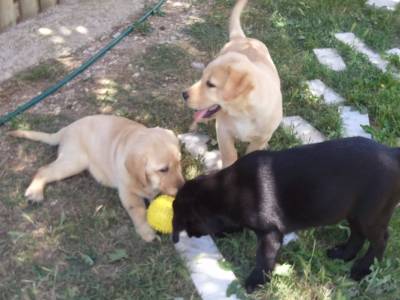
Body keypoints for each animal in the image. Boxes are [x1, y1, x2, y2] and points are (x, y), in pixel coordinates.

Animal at [9, 115, 184, 241]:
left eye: (179, 162)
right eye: (163, 169)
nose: (182, 188)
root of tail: (65, 129)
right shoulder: (127, 192)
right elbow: (138, 210)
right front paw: (146, 231)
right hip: (74, 161)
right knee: (43, 170)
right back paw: (35, 192)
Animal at [172, 137, 400, 292]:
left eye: (189, 223)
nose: (191, 235)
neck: (229, 189)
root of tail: (391, 152)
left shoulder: (271, 234)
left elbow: (264, 258)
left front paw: (255, 281)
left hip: (370, 216)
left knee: (380, 240)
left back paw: (363, 269)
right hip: (354, 213)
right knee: (357, 235)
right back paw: (343, 254)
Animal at [182, 0, 282, 168]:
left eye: (210, 84)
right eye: (202, 77)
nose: (183, 95)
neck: (243, 113)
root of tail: (243, 39)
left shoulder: (260, 138)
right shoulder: (223, 131)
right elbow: (229, 154)